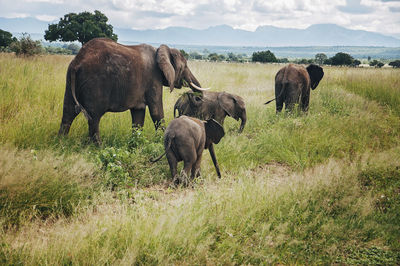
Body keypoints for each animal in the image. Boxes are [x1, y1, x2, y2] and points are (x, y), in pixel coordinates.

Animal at [58, 38, 208, 143]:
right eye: (184, 67)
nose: (193, 95)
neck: (161, 50)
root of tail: (77, 62)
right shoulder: (153, 78)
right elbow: (156, 112)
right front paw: (161, 143)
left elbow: (138, 114)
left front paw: (136, 143)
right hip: (94, 83)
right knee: (94, 117)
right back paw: (98, 147)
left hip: (70, 80)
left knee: (68, 111)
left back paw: (62, 143)